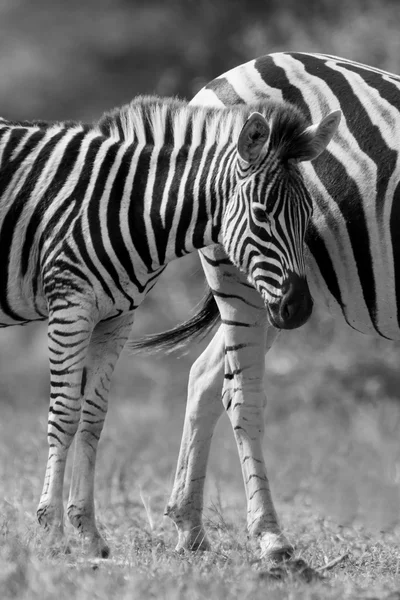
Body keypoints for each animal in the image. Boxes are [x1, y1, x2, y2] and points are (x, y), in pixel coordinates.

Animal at [0, 95, 338, 556]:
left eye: (308, 214)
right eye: (261, 215)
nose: (299, 310)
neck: (130, 205)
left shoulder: (116, 317)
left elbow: (93, 416)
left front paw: (88, 532)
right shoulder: (71, 305)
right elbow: (65, 414)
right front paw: (51, 532)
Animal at [130, 52, 400, 564]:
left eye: (309, 213)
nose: (301, 309)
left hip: (270, 295)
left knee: (204, 376)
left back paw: (189, 527)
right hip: (239, 279)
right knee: (241, 396)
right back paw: (271, 539)